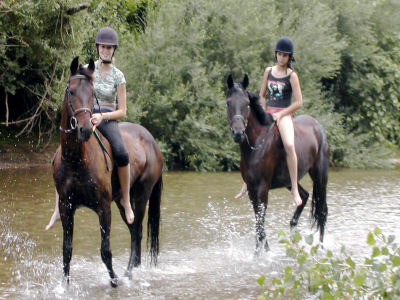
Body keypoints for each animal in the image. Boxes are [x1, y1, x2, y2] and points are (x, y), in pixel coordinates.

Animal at [53, 57, 162, 288]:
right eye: (72, 91)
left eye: (91, 91)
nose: (85, 129)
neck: (76, 160)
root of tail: (152, 141)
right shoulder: (66, 207)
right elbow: (67, 251)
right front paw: (64, 287)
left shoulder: (103, 207)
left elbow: (105, 250)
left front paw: (114, 281)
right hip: (121, 201)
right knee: (134, 230)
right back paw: (133, 269)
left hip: (141, 195)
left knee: (137, 230)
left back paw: (128, 273)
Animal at [227, 75, 330, 253]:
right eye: (228, 103)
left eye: (247, 104)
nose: (238, 133)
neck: (256, 144)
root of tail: (318, 127)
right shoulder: (252, 189)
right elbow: (258, 223)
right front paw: (263, 252)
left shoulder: (262, 188)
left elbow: (260, 223)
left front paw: (260, 254)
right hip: (289, 181)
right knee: (303, 197)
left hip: (320, 176)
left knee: (322, 211)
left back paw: (321, 249)